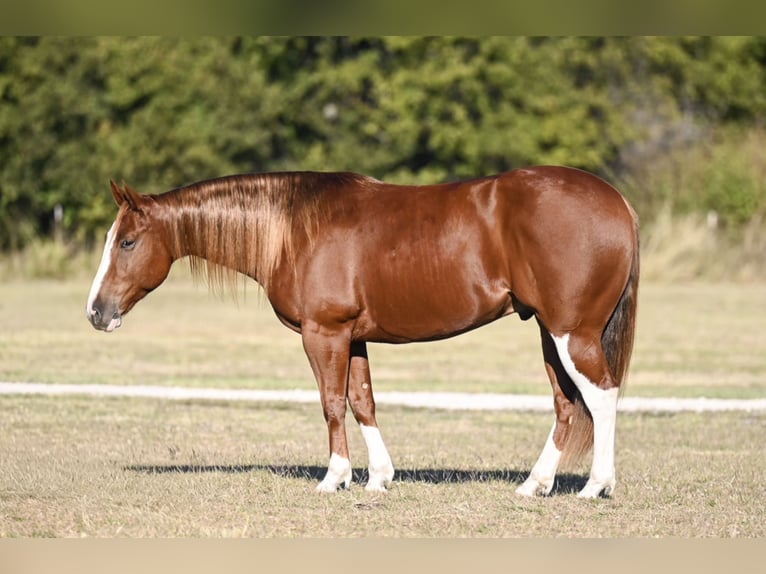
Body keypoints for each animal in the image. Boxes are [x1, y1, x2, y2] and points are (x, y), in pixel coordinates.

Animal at [86, 166, 639, 498]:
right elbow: (362, 401)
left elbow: (332, 403)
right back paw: (534, 485)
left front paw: (335, 477)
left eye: (128, 241)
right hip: (549, 333)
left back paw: (596, 486)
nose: (95, 312)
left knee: (602, 395)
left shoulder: (323, 333)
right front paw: (379, 477)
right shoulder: (353, 337)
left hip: (572, 333)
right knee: (567, 404)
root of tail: (618, 202)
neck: (294, 230)